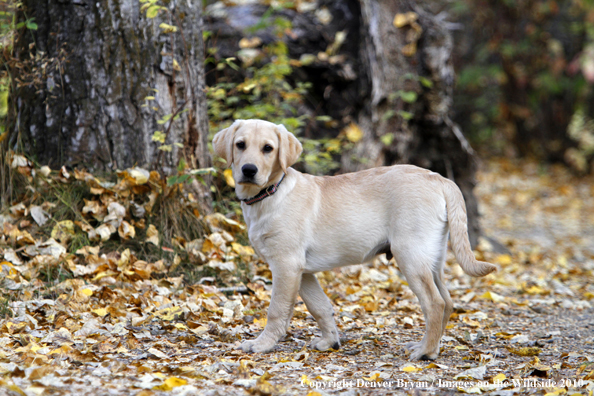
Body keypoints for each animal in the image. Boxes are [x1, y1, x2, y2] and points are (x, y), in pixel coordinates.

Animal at [213, 118, 494, 358]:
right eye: (240, 145)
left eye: (268, 148)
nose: (249, 170)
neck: (271, 193)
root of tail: (439, 178)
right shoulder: (303, 271)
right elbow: (320, 306)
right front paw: (330, 341)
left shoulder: (286, 264)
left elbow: (276, 309)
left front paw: (262, 344)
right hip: (432, 257)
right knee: (447, 301)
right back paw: (431, 347)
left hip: (410, 255)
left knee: (434, 303)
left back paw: (424, 352)